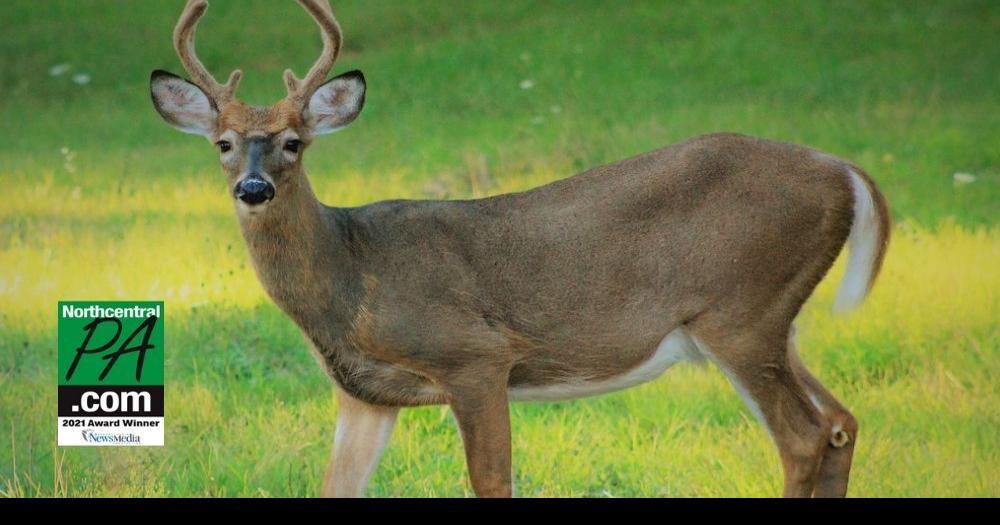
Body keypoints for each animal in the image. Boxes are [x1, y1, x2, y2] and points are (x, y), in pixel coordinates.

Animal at [150, 0, 890, 498]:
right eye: (223, 143)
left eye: (293, 142)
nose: (253, 187)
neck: (352, 273)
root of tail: (843, 170)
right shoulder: (365, 395)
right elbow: (338, 486)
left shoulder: (475, 356)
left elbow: (492, 481)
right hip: (772, 320)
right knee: (840, 421)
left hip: (740, 310)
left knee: (803, 437)